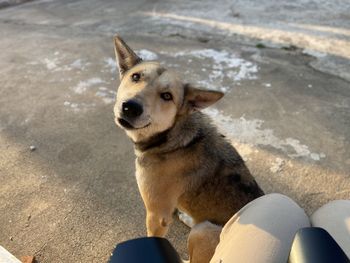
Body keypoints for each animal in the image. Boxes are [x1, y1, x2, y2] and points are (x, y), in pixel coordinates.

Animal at [112, 34, 262, 250]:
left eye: (167, 96)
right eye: (136, 77)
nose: (130, 107)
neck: (172, 140)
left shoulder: (157, 216)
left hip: (204, 232)